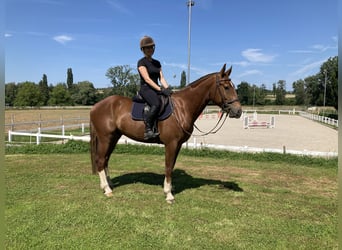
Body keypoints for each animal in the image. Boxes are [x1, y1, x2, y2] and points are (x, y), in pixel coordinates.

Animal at [89, 64, 242, 203]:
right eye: (226, 87)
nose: (238, 111)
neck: (182, 107)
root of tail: (96, 106)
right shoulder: (171, 144)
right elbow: (168, 167)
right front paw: (168, 194)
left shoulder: (178, 145)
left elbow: (172, 166)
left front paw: (170, 188)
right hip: (105, 138)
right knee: (100, 160)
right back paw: (107, 189)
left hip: (114, 138)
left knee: (106, 159)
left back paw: (109, 184)